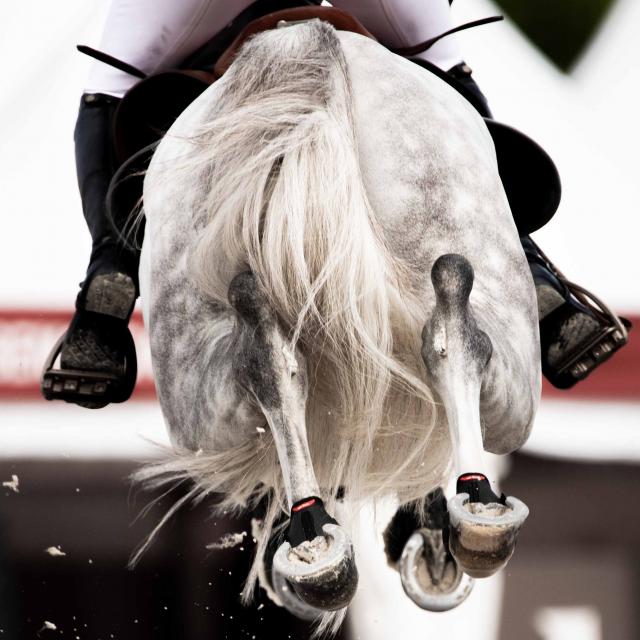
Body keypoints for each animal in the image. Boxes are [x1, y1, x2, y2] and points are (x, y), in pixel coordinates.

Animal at [138, 18, 536, 632]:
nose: (429, 560)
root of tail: (305, 38)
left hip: (202, 412)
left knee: (272, 352)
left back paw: (320, 540)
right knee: (450, 314)